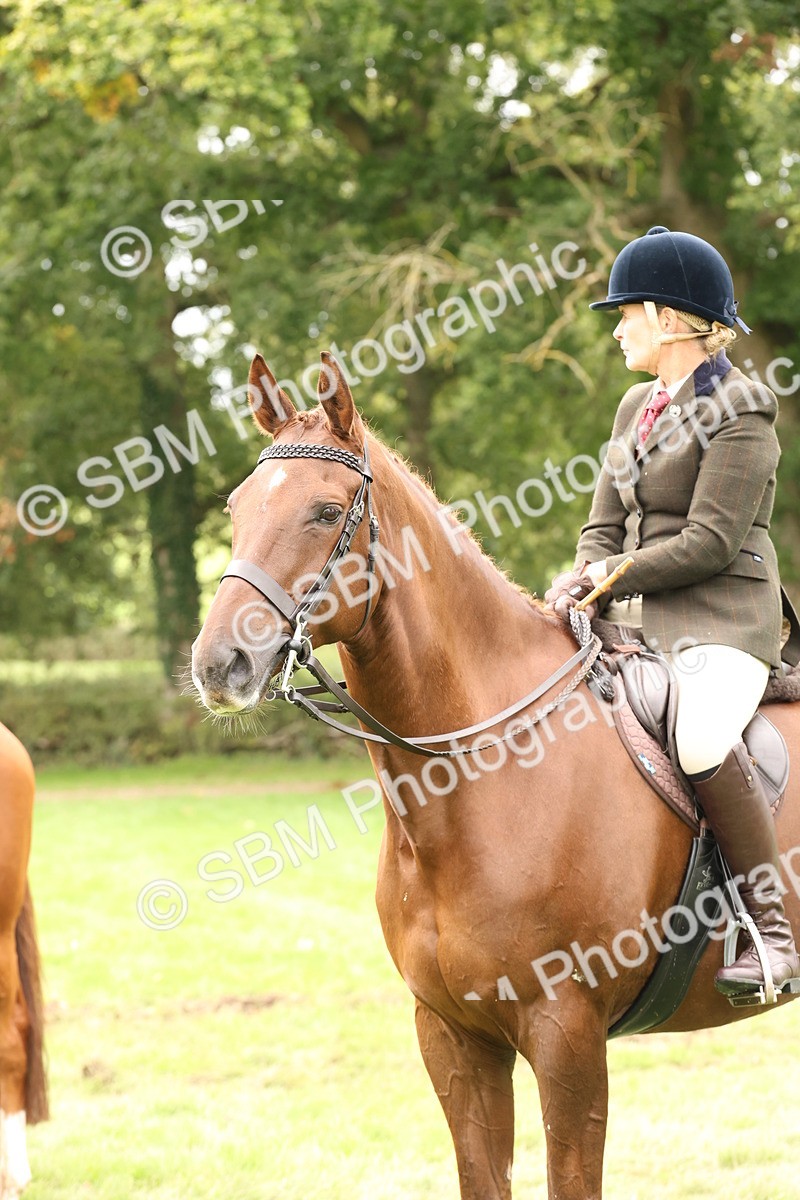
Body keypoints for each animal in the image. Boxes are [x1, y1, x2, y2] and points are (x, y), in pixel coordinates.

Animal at [191, 351, 800, 1199]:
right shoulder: (452, 1034)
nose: (220, 665)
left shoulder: (566, 1034)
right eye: (237, 506)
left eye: (323, 512)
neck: (468, 788)